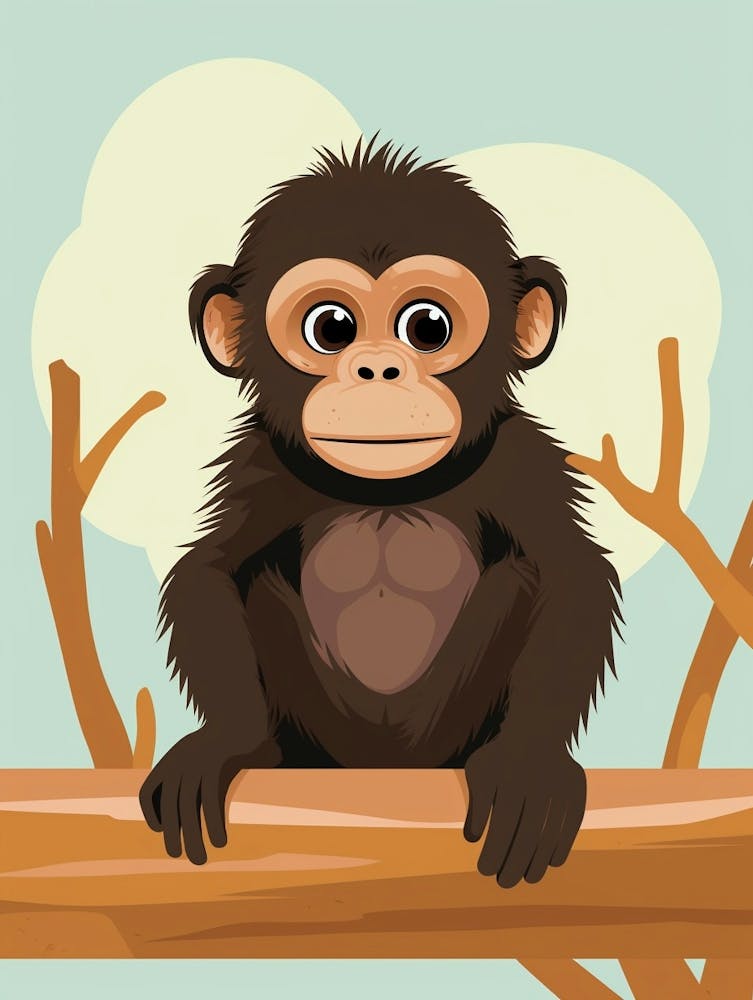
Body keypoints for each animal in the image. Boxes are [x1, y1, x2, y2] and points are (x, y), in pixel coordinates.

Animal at [139, 137, 621, 889]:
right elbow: (210, 571)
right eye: (331, 328)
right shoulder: (261, 464)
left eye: (427, 327)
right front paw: (227, 741)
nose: (377, 371)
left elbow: (571, 574)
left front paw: (530, 758)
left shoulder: (522, 460)